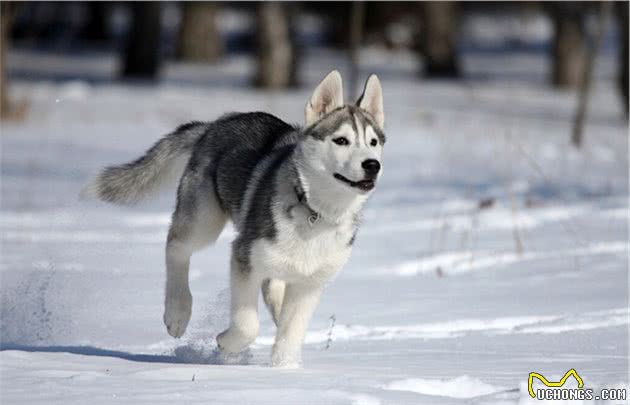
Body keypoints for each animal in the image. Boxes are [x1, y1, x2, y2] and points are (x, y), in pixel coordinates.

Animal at [85, 72, 386, 366]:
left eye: (373, 142)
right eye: (341, 140)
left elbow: (290, 334)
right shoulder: (244, 258)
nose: (373, 165)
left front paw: (285, 370)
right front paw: (225, 343)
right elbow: (247, 325)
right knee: (176, 246)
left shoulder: (310, 283)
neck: (315, 211)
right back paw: (177, 312)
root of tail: (217, 123)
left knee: (273, 290)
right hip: (204, 219)